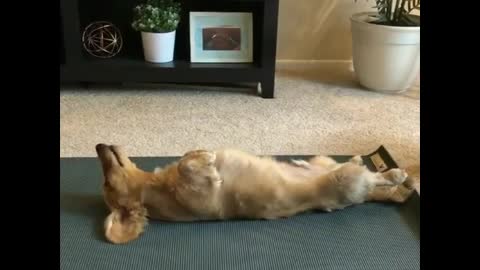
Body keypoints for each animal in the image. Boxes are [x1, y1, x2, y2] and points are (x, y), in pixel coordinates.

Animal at [95, 143, 414, 245]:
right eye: (107, 183)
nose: (99, 146)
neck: (158, 185)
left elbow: (185, 159)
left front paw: (197, 152)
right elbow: (190, 167)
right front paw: (205, 158)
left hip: (324, 161)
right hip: (347, 180)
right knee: (374, 181)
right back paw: (396, 177)